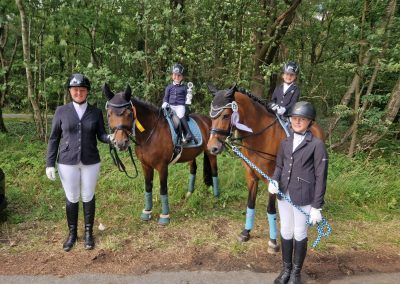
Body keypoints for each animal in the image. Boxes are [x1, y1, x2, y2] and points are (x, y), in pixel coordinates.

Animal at [102, 83, 219, 225]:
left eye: (129, 114)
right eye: (109, 114)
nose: (120, 143)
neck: (150, 134)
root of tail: (208, 120)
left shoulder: (162, 166)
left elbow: (163, 189)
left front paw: (164, 216)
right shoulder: (145, 166)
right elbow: (148, 187)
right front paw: (147, 212)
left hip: (211, 153)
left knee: (214, 171)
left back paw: (216, 197)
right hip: (192, 155)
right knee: (193, 169)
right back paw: (189, 194)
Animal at [206, 84, 324, 253]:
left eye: (226, 116)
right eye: (211, 115)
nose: (212, 148)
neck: (260, 136)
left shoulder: (272, 180)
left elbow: (270, 210)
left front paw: (273, 242)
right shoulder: (251, 176)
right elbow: (250, 204)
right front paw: (245, 233)